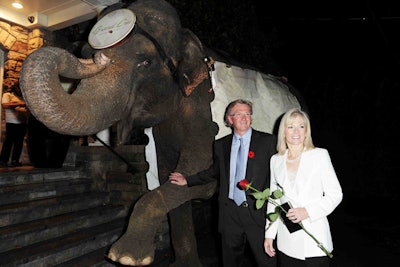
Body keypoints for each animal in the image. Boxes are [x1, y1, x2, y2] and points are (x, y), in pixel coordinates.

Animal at [19, 0, 304, 267]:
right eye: (87, 53)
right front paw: (183, 264)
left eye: (145, 62)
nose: (96, 56)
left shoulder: (203, 107)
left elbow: (204, 177)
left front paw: (125, 256)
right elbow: (173, 176)